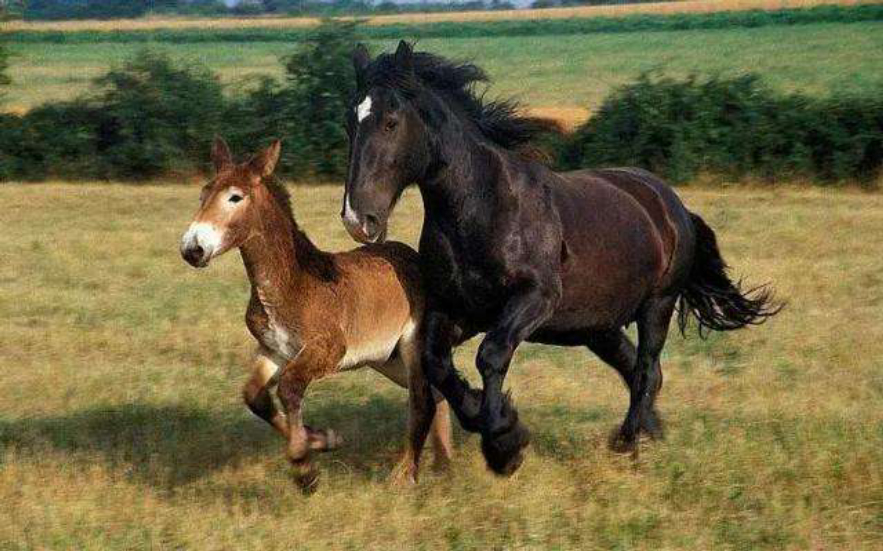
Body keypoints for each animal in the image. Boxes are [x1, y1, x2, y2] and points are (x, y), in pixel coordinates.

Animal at [180, 137, 452, 489]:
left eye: (235, 197)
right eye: (203, 194)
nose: (192, 249)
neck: (293, 283)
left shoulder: (329, 349)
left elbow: (289, 388)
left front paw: (304, 467)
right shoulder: (273, 350)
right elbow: (255, 396)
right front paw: (323, 440)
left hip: (411, 346)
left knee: (422, 400)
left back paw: (404, 475)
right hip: (386, 359)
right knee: (437, 393)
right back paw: (444, 465)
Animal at [340, 41, 780, 476]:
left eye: (391, 122)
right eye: (350, 123)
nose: (358, 219)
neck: (484, 207)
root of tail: (673, 205)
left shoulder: (534, 299)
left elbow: (491, 355)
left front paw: (504, 444)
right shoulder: (457, 309)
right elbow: (438, 364)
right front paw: (499, 425)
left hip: (658, 304)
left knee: (645, 370)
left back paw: (628, 443)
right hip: (598, 326)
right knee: (638, 370)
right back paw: (648, 436)